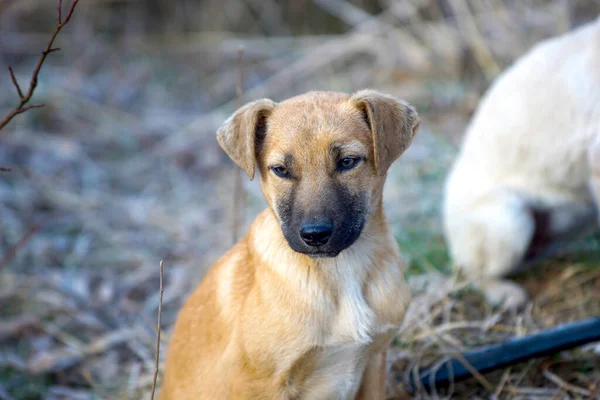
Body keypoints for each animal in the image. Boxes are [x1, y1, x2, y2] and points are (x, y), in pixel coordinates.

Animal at [162, 90, 420, 400]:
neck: (341, 270)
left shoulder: (373, 360)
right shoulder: (259, 385)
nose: (315, 234)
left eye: (347, 162)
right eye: (280, 170)